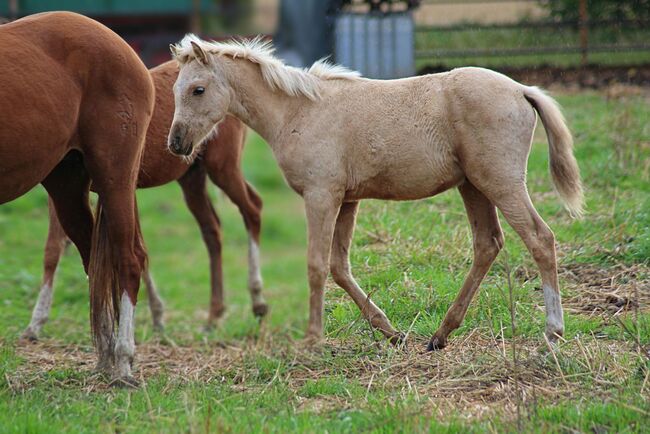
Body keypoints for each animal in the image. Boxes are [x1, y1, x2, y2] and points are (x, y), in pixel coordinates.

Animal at [0, 11, 154, 384]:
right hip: (66, 187)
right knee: (94, 262)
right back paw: (107, 358)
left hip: (115, 178)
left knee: (129, 260)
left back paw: (122, 362)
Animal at [21, 60, 266, 342]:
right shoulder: (74, 188)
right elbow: (53, 250)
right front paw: (35, 323)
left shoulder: (118, 185)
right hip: (191, 177)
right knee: (212, 229)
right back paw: (214, 316)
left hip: (222, 165)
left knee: (252, 208)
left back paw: (258, 302)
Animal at [167, 35, 584, 350]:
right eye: (174, 90)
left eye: (198, 90)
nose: (175, 143)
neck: (298, 112)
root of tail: (522, 90)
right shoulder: (347, 199)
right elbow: (339, 266)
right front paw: (389, 331)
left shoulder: (321, 196)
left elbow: (316, 265)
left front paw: (313, 339)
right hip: (473, 186)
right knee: (488, 244)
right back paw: (440, 334)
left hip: (500, 182)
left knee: (540, 238)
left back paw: (552, 332)